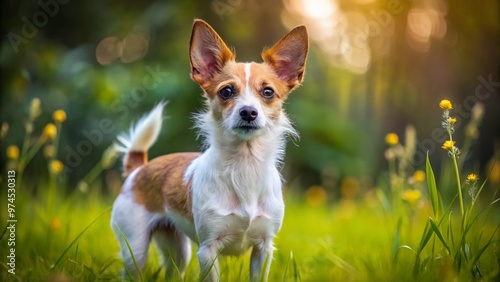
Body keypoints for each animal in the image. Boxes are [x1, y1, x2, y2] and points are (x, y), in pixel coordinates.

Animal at [111, 18, 308, 280]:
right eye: (226, 91)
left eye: (268, 92)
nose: (248, 112)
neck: (244, 164)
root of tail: (139, 169)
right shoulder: (208, 249)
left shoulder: (264, 249)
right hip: (136, 248)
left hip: (178, 251)